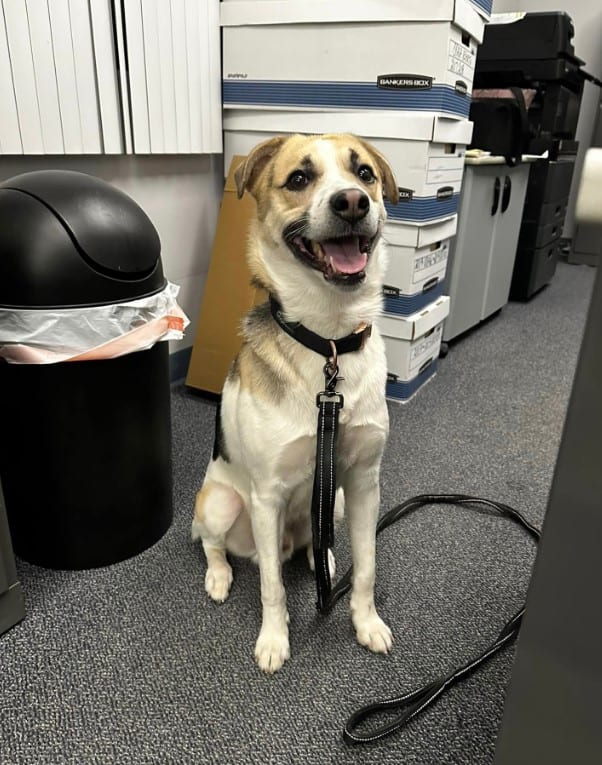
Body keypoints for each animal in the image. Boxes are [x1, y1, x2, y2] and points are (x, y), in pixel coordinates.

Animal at [192, 134, 398, 672]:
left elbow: (367, 568)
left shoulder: (364, 484)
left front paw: (367, 624)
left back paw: (319, 555)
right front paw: (273, 641)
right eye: (299, 179)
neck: (328, 343)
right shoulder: (267, 495)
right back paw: (219, 576)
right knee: (214, 545)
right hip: (220, 502)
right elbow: (272, 587)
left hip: (337, 502)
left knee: (315, 541)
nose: (353, 202)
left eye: (364, 174)